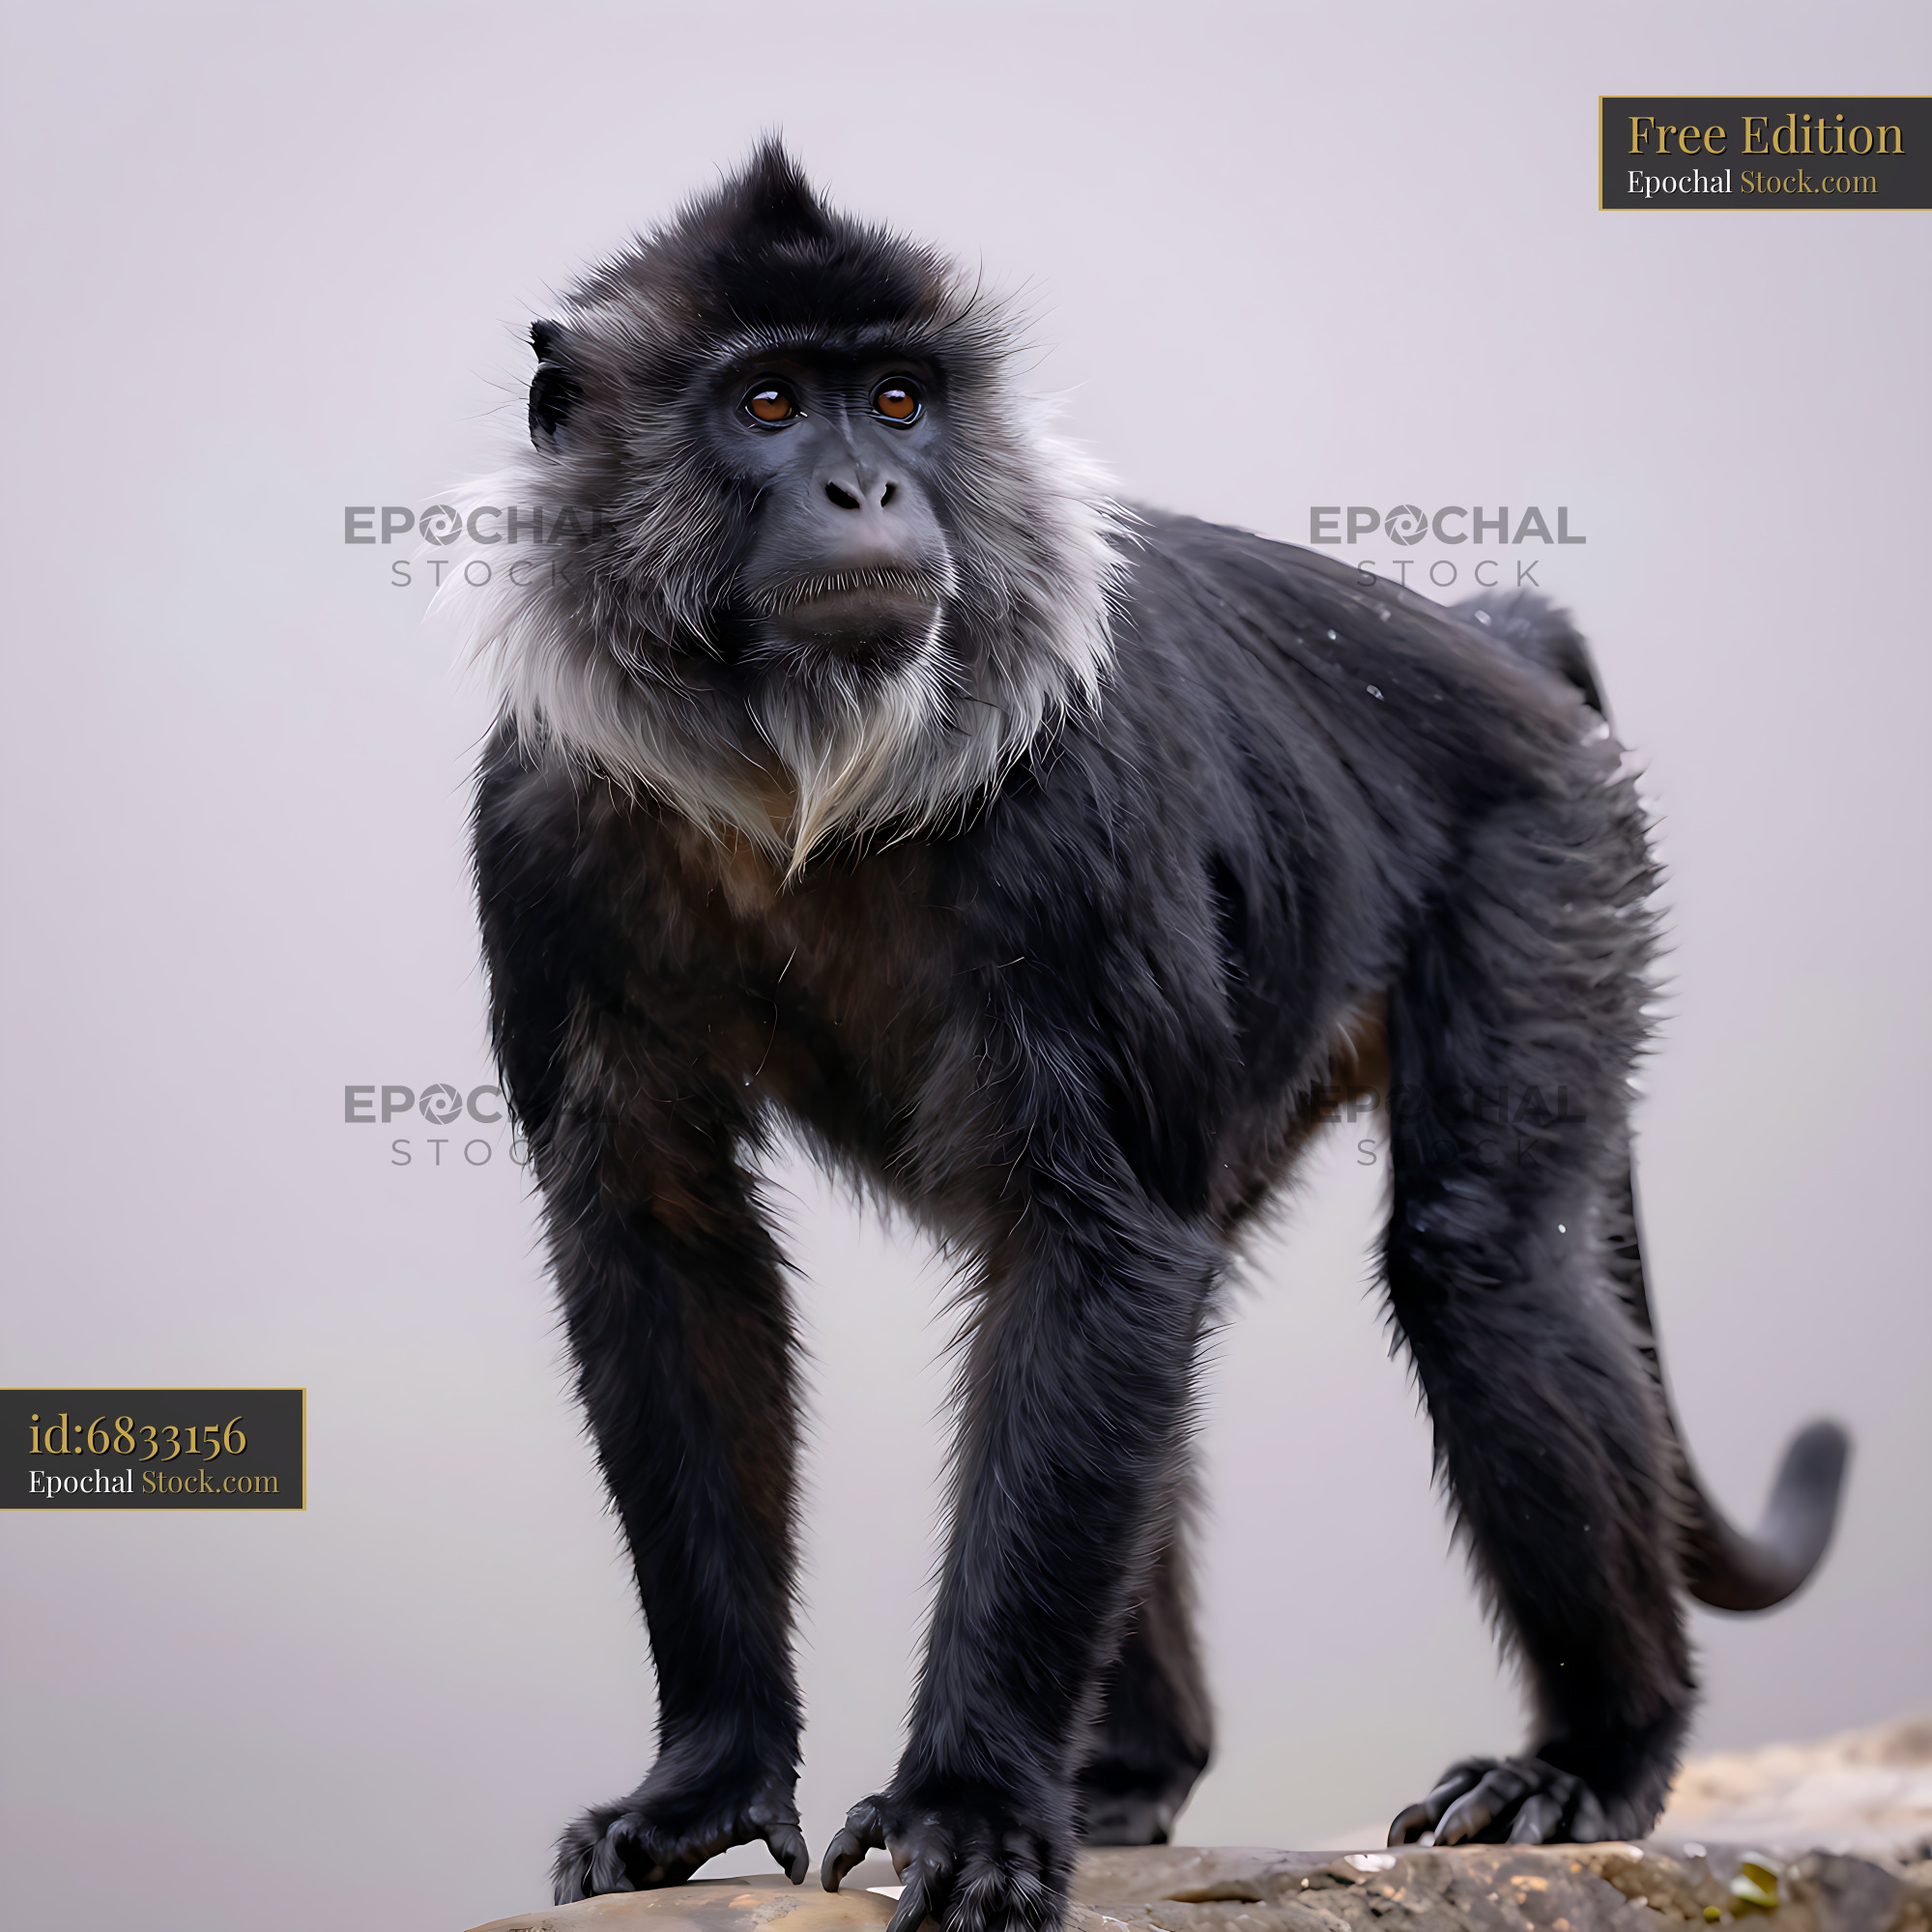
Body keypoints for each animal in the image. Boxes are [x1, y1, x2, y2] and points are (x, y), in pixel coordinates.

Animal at [457, 143, 1849, 1929]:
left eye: (895, 398)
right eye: (767, 403)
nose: (865, 490)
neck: (798, 775)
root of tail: (1482, 640)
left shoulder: (1075, 801)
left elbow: (1102, 1234)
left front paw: (969, 1806)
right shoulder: (539, 820)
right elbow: (665, 1239)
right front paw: (702, 1785)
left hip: (1549, 842)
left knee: (1474, 1262)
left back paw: (1595, 1753)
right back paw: (1130, 1766)